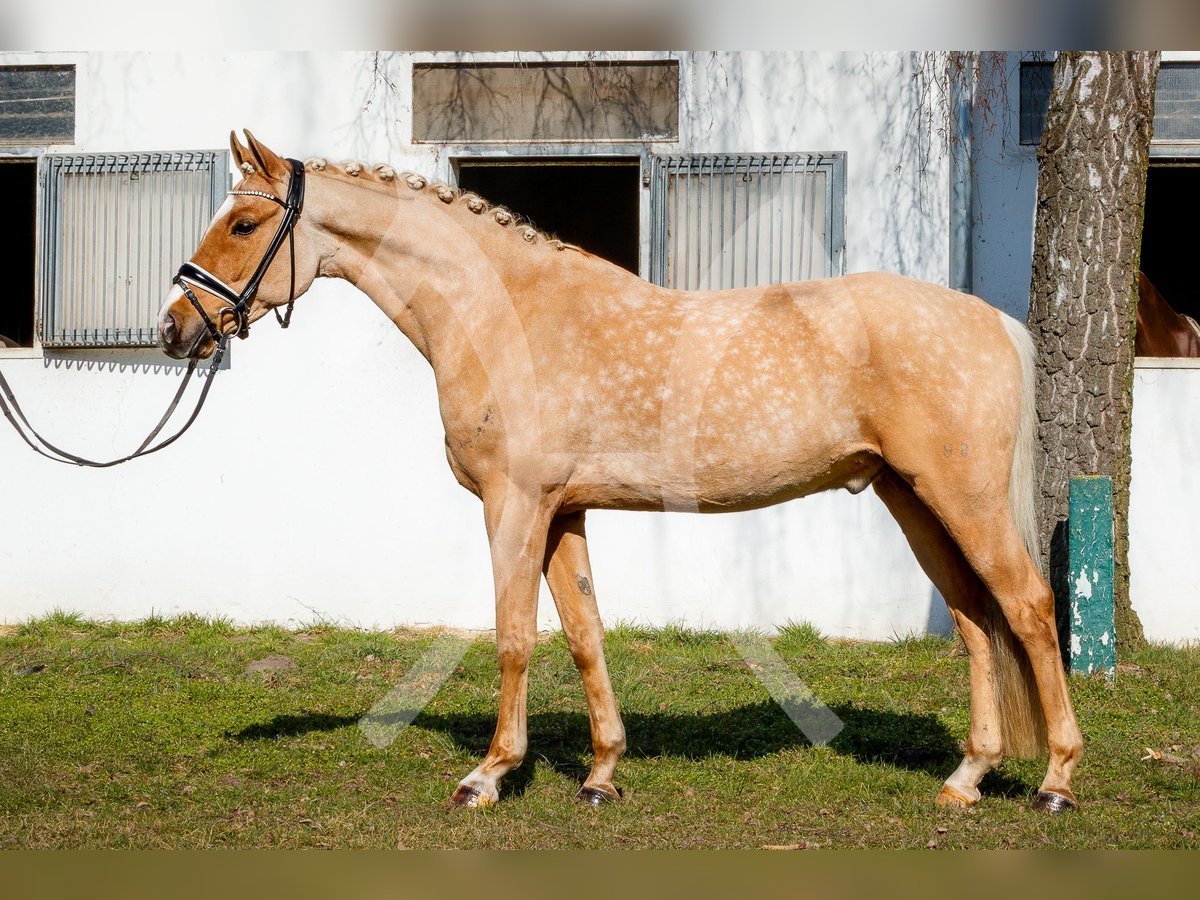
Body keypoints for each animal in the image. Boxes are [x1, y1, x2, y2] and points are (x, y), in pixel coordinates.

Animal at [154, 133, 1084, 816]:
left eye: (243, 226)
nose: (173, 328)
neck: (505, 313)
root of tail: (994, 321)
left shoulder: (515, 505)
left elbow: (515, 637)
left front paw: (488, 775)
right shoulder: (564, 510)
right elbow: (585, 633)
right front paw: (602, 774)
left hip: (961, 499)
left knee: (1028, 610)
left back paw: (1055, 782)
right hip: (913, 499)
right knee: (974, 621)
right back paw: (966, 781)